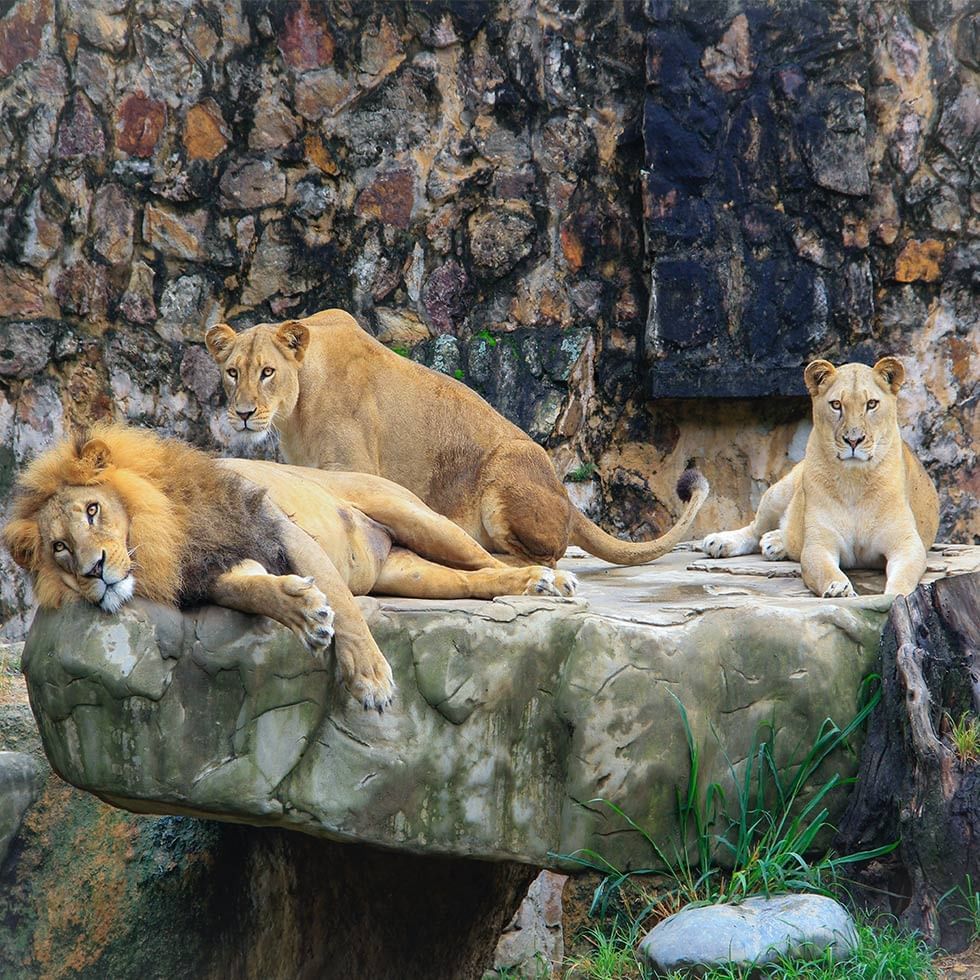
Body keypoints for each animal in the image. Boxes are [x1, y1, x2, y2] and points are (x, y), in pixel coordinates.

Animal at [3, 424, 580, 708]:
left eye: (93, 510)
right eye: (59, 547)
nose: (94, 570)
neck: (164, 535)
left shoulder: (281, 529)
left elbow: (344, 605)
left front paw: (370, 677)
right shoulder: (219, 570)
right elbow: (255, 591)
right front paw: (302, 611)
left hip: (418, 517)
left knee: (486, 557)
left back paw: (548, 578)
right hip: (412, 573)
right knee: (474, 580)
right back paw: (528, 585)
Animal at [207, 306, 708, 568]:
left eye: (267, 372)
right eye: (233, 373)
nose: (244, 414)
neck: (296, 410)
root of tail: (567, 499)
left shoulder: (352, 467)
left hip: (505, 470)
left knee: (545, 558)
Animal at [700, 356, 936, 592]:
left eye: (871, 404)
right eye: (836, 405)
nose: (853, 440)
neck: (854, 481)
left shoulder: (906, 542)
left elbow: (904, 577)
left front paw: (895, 595)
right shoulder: (820, 543)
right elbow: (825, 570)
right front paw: (838, 589)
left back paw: (774, 543)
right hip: (777, 494)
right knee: (753, 529)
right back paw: (719, 542)